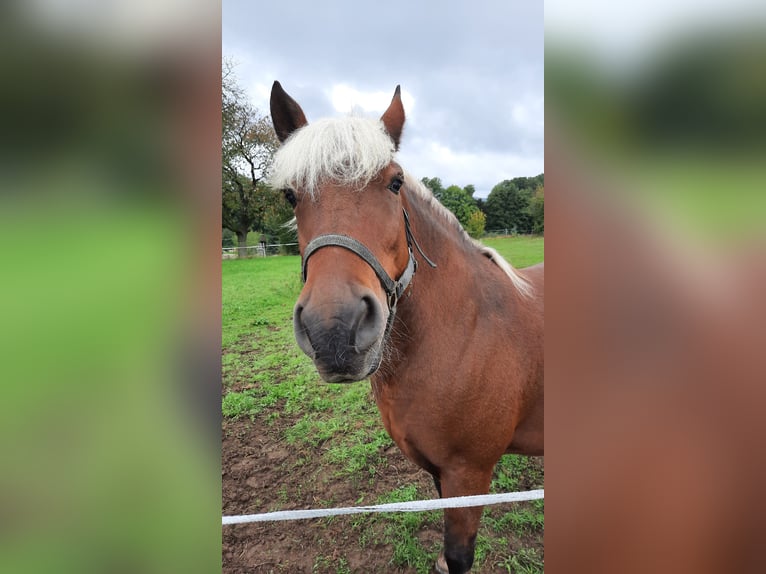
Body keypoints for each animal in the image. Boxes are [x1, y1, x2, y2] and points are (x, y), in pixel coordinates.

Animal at [270, 82, 544, 574]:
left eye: (394, 182)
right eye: (290, 195)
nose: (335, 330)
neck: (467, 330)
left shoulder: (468, 475)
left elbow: (459, 557)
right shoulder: (441, 476)